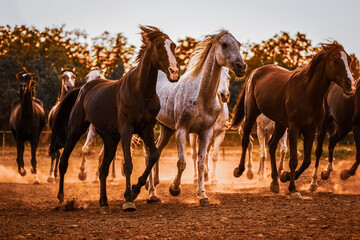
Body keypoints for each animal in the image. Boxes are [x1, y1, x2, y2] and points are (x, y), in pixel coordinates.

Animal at [49, 25, 180, 213]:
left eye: (174, 46)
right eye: (158, 46)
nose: (175, 73)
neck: (140, 91)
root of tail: (82, 89)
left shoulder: (146, 129)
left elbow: (154, 155)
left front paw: (135, 190)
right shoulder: (126, 130)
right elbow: (128, 164)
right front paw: (129, 200)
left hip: (110, 139)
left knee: (103, 169)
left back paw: (104, 202)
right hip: (75, 130)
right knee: (63, 162)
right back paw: (61, 198)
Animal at [145, 30, 246, 205]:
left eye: (238, 44)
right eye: (224, 44)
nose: (242, 66)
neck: (201, 96)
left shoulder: (205, 132)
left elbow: (201, 163)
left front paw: (203, 195)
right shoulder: (182, 131)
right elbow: (182, 162)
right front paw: (174, 188)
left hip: (167, 129)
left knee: (156, 150)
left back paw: (154, 187)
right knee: (149, 153)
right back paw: (151, 193)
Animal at [231, 41, 354, 199]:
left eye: (349, 60)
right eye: (334, 60)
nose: (350, 84)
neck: (307, 92)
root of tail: (255, 72)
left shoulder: (310, 129)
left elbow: (306, 161)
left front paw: (285, 176)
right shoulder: (294, 127)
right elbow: (294, 160)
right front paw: (293, 188)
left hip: (280, 124)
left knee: (272, 146)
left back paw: (274, 182)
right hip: (252, 114)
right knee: (246, 141)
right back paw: (240, 171)